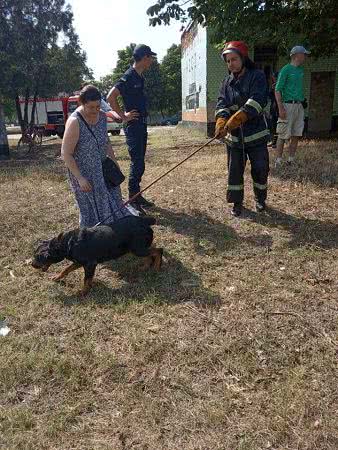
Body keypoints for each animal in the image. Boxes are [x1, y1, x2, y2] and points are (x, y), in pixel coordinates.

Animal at [32, 215, 163, 296]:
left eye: (38, 257)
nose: (32, 265)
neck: (67, 243)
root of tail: (144, 220)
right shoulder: (78, 262)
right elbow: (66, 269)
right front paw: (57, 277)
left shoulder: (90, 264)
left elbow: (86, 279)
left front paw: (83, 292)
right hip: (135, 248)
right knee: (151, 252)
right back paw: (145, 266)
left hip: (137, 249)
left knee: (158, 250)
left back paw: (157, 268)